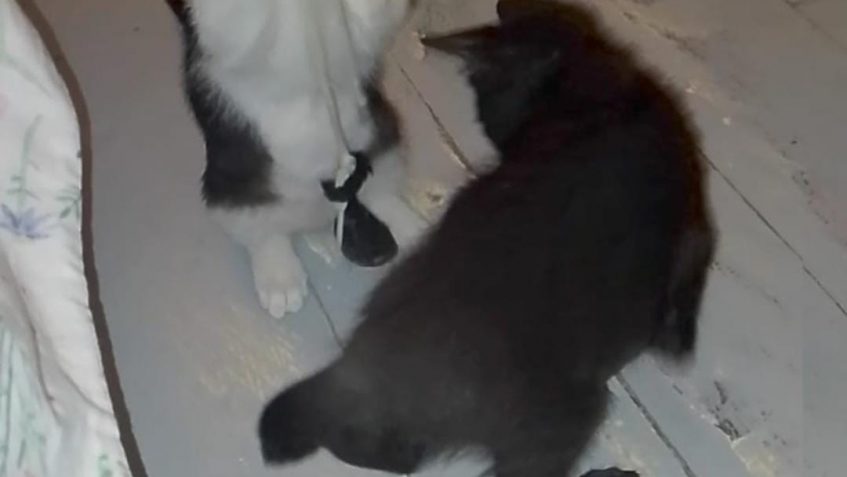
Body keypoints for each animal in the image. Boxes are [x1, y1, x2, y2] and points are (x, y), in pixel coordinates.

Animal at [169, 0, 425, 318]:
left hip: (385, 140)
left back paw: (411, 227)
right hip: (232, 193)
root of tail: (317, 214)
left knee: (380, 191)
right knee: (264, 235)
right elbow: (244, 28)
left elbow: (370, 21)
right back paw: (280, 279)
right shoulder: (229, 36)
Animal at [258, 1, 716, 476]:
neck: (599, 88)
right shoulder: (696, 228)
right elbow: (689, 284)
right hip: (567, 413)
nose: (496, 137)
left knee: (392, 453)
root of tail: (357, 372)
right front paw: (679, 343)